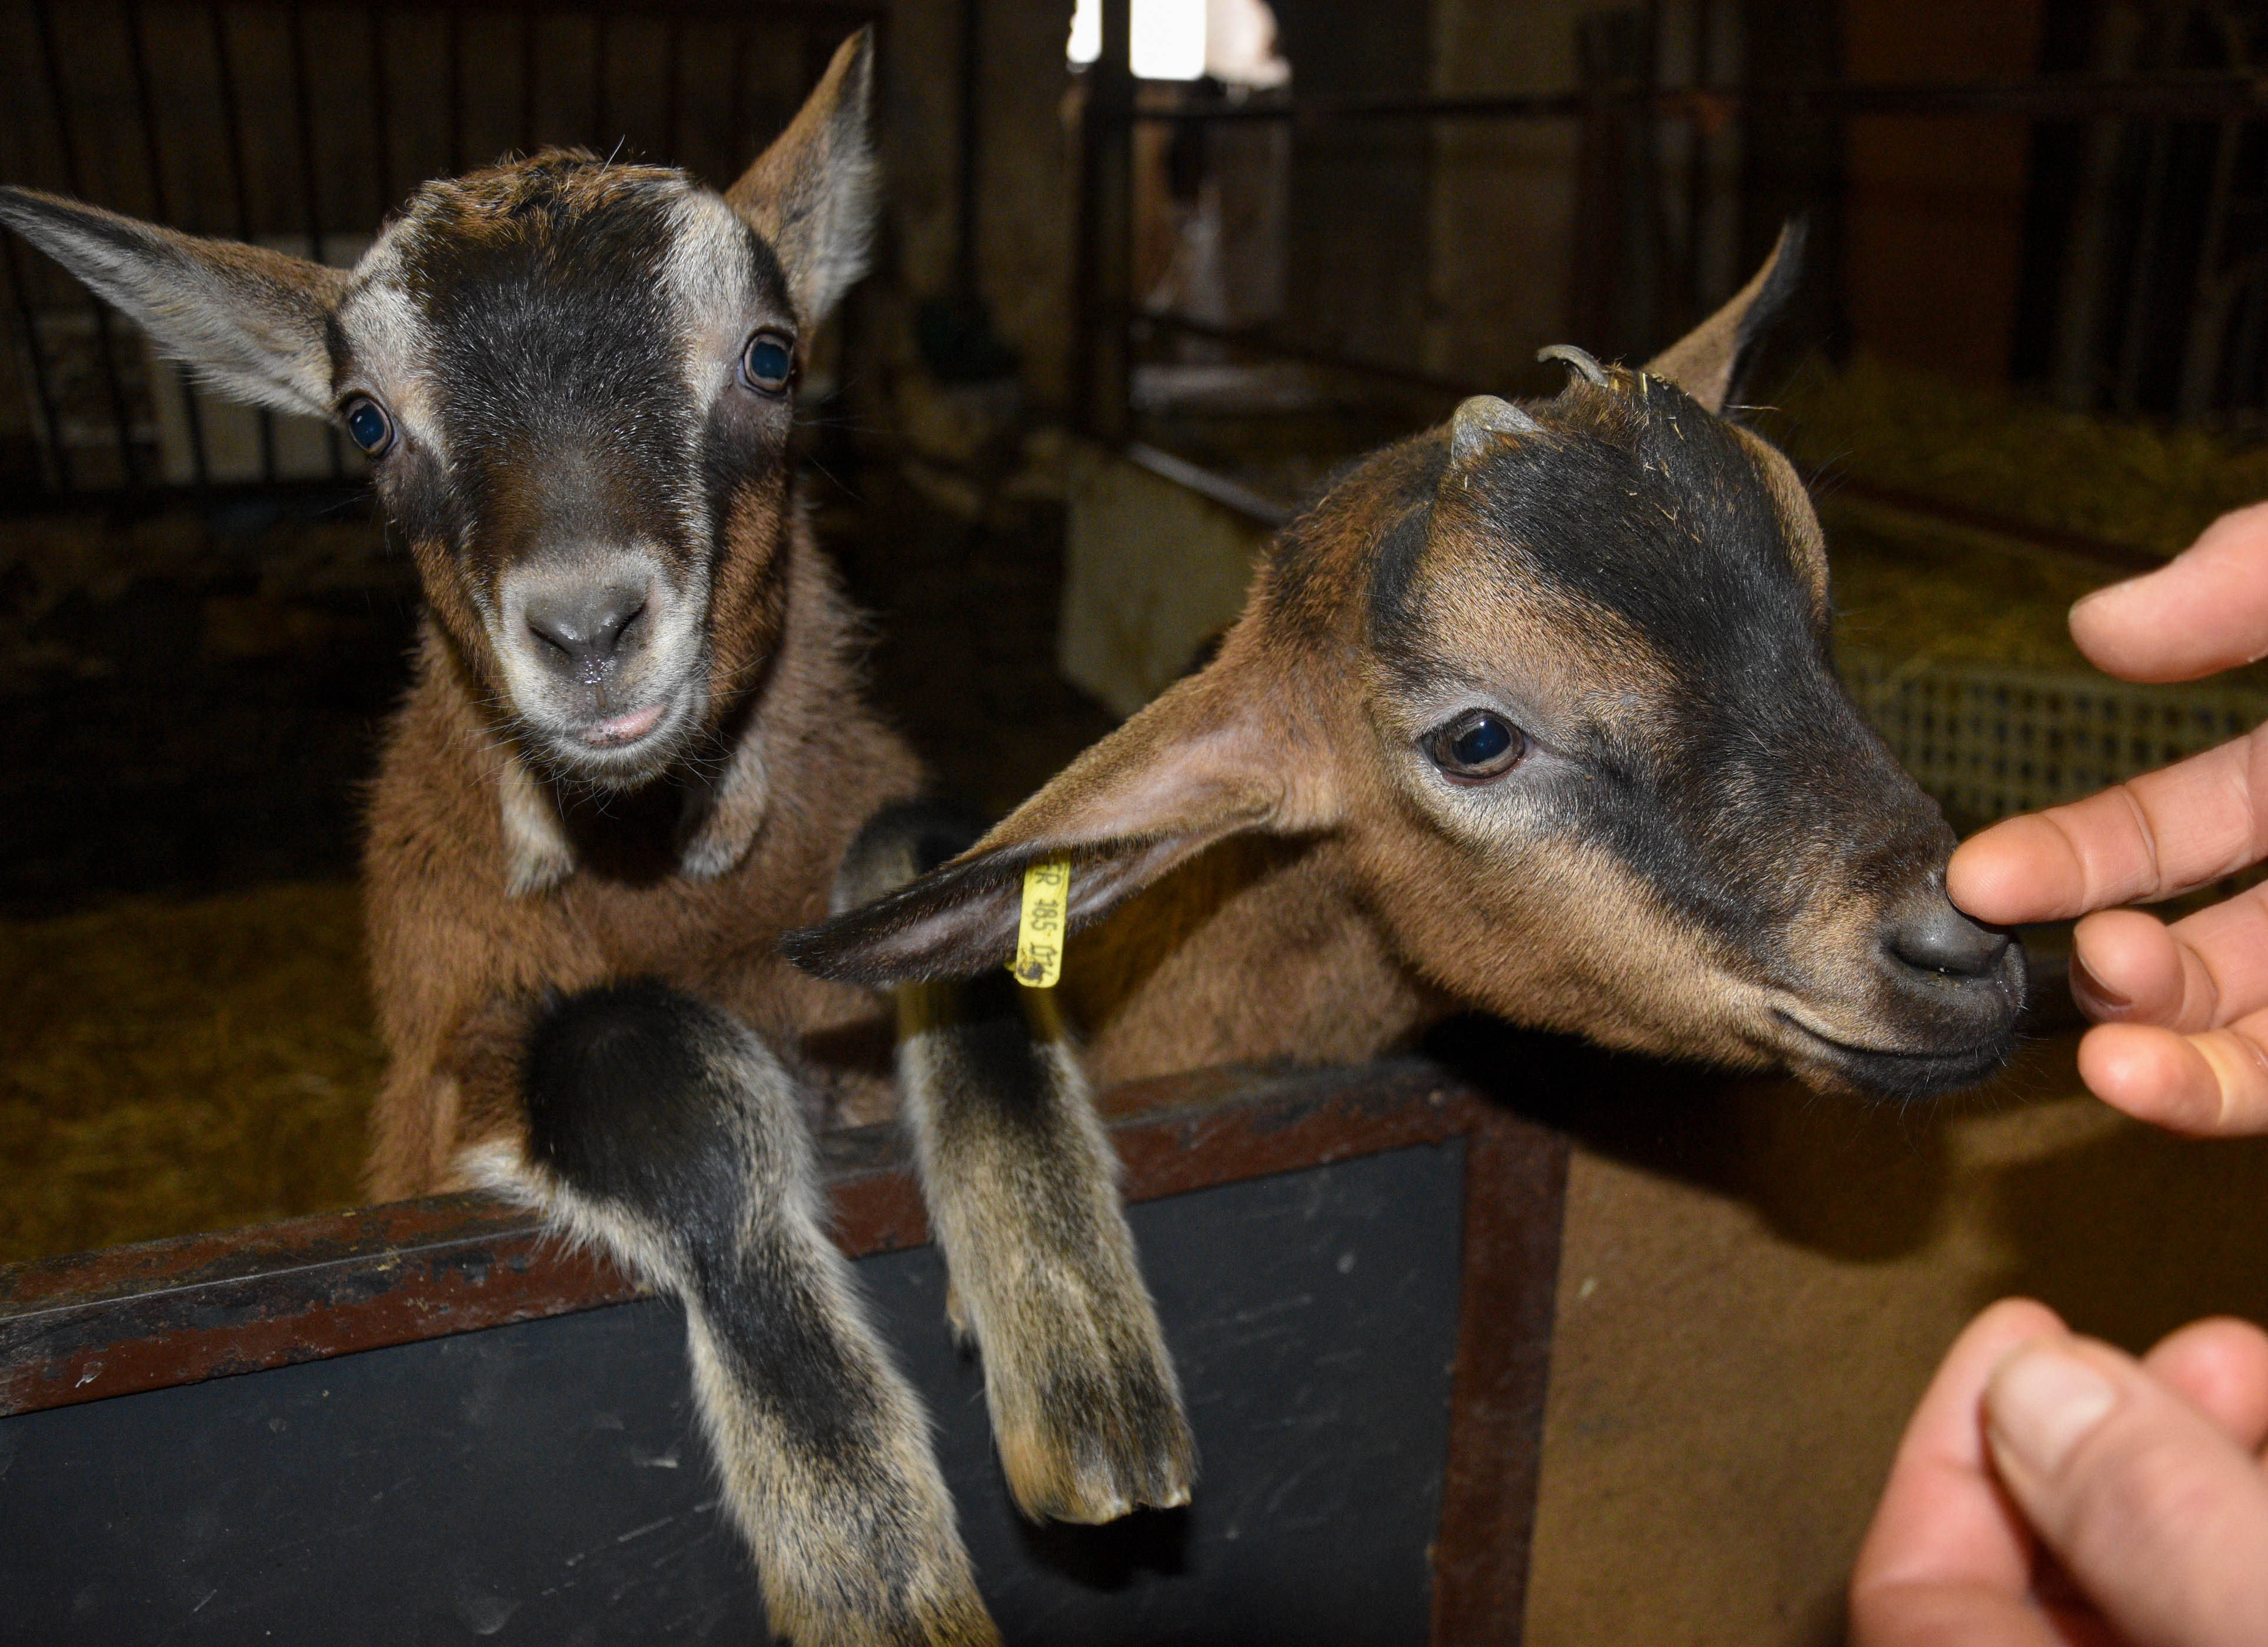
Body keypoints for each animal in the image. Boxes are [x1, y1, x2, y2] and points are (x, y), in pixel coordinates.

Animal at [0, 32, 1189, 1645]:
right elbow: (645, 1072)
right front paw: (877, 1567)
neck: (664, 884)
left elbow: (942, 876)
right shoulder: (445, 1069)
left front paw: (1079, 1369)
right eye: (363, 418)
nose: (584, 627)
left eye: (772, 354)